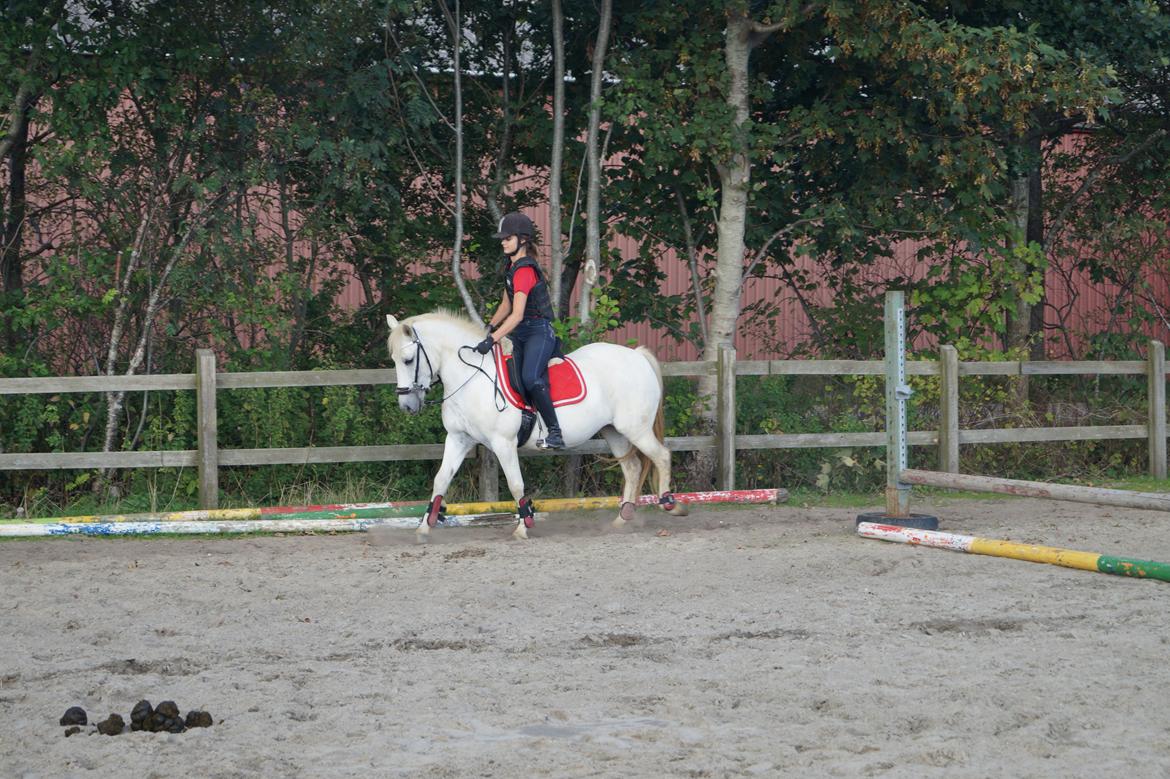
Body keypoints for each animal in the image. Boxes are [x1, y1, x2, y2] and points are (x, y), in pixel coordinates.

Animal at [388, 308, 687, 540]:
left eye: (408, 360)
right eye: (394, 361)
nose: (407, 406)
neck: (471, 377)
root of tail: (636, 356)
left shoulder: (503, 443)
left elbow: (515, 484)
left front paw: (523, 526)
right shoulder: (458, 439)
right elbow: (441, 480)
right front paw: (424, 527)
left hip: (636, 429)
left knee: (662, 456)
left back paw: (670, 504)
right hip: (614, 432)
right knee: (633, 468)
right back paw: (622, 518)